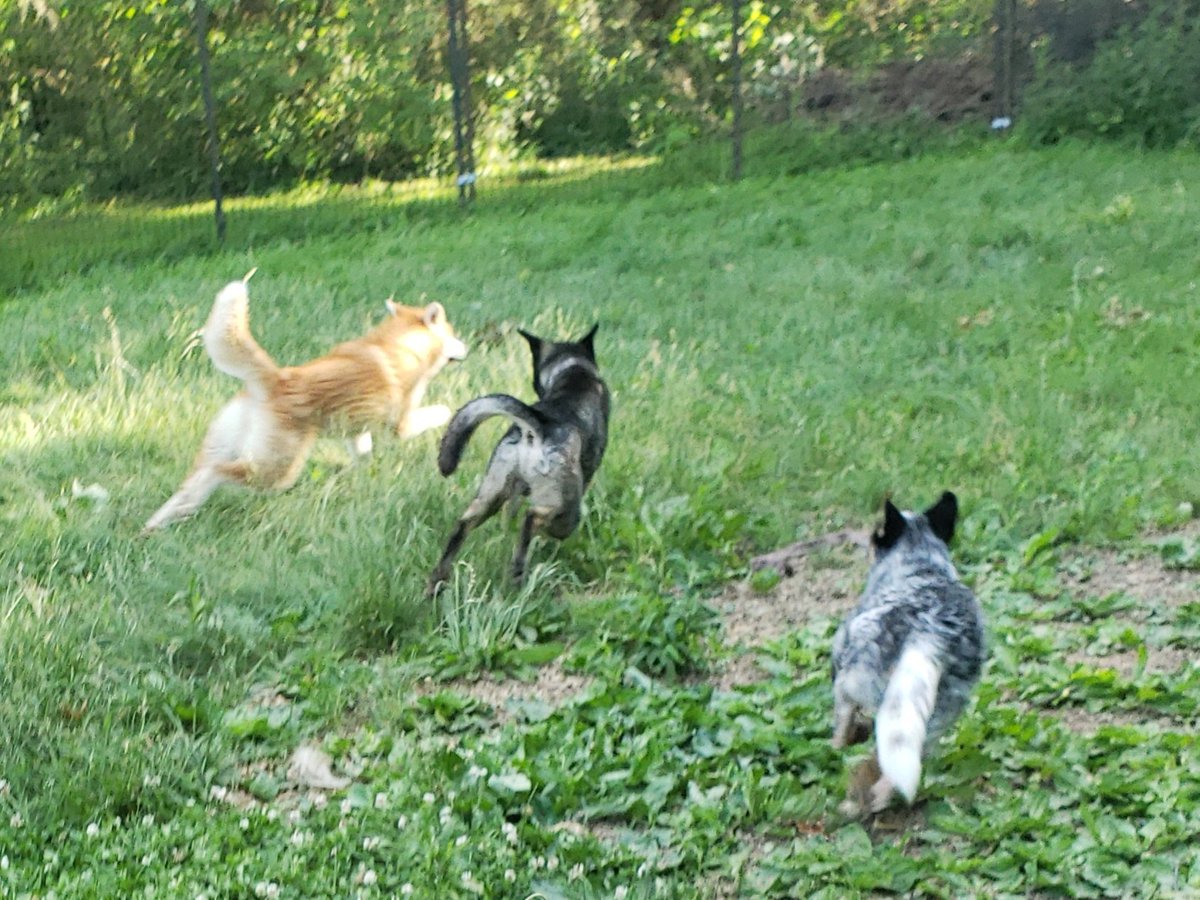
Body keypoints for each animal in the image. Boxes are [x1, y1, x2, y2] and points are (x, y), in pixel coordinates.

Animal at [145, 273, 468, 528]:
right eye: (454, 333)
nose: (466, 347)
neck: (401, 346)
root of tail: (275, 380)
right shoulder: (400, 424)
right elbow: (438, 411)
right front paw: (449, 416)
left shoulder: (356, 433)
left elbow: (363, 457)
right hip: (275, 469)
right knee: (216, 473)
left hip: (224, 445)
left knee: (191, 482)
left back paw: (158, 522)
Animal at [429, 324, 609, 592]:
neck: (573, 371)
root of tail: (537, 428)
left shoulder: (511, 493)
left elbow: (509, 515)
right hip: (566, 510)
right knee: (531, 520)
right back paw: (518, 574)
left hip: (491, 493)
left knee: (462, 526)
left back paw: (437, 582)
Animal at [830, 494, 988, 816]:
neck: (921, 561)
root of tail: (929, 631)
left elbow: (842, 722)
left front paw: (836, 747)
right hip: (936, 711)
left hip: (862, 681)